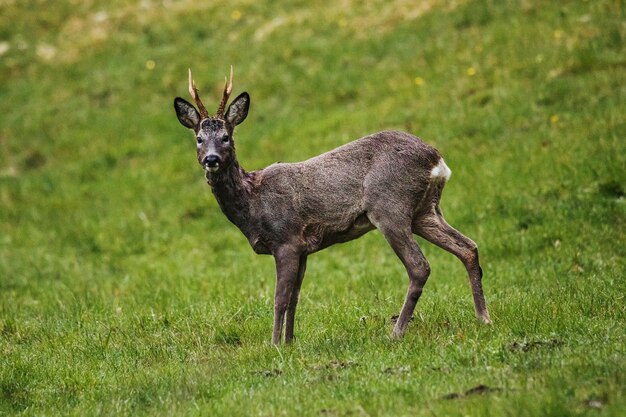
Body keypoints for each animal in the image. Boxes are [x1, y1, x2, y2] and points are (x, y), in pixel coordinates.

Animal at [173, 66, 490, 342]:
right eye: (199, 139)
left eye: (226, 137)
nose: (211, 159)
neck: (253, 204)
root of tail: (437, 161)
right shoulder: (303, 248)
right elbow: (295, 297)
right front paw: (290, 342)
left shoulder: (286, 239)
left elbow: (280, 298)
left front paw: (274, 344)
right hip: (425, 211)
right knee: (468, 247)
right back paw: (483, 318)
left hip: (390, 207)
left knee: (420, 266)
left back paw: (396, 333)